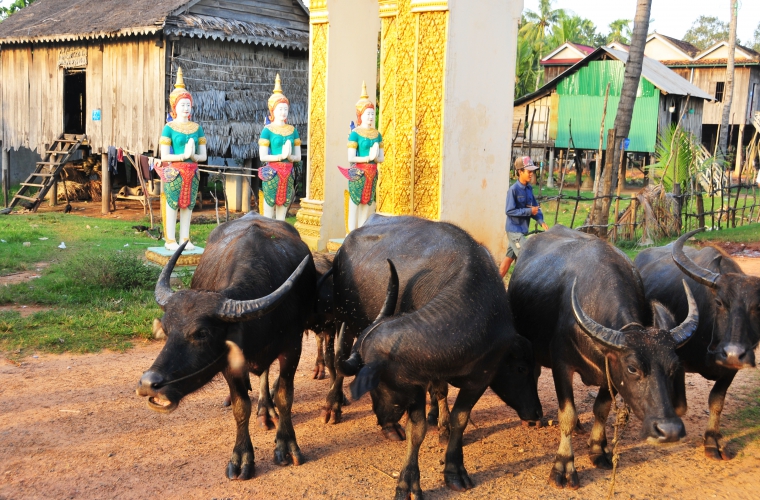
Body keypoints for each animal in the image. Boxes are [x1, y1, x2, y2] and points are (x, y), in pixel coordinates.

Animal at [136, 215, 314, 480]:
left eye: (202, 333)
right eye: (166, 331)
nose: (149, 384)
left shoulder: (293, 346)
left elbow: (285, 397)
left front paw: (286, 444)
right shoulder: (228, 363)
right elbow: (241, 407)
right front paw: (241, 457)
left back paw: (266, 408)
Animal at [332, 217, 540, 498]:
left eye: (529, 370)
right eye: (520, 368)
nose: (536, 413)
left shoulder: (479, 379)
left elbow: (459, 418)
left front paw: (454, 467)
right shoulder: (415, 384)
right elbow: (416, 430)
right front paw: (407, 483)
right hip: (345, 319)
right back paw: (338, 408)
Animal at [508, 226, 696, 488]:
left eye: (673, 368)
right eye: (632, 368)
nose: (669, 430)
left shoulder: (610, 372)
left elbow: (601, 409)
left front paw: (598, 449)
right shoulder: (562, 365)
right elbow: (567, 413)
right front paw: (564, 465)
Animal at [636, 229, 760, 458]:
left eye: (759, 307)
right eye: (719, 302)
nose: (733, 353)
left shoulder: (731, 369)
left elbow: (717, 400)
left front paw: (712, 440)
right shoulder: (676, 358)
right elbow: (680, 404)